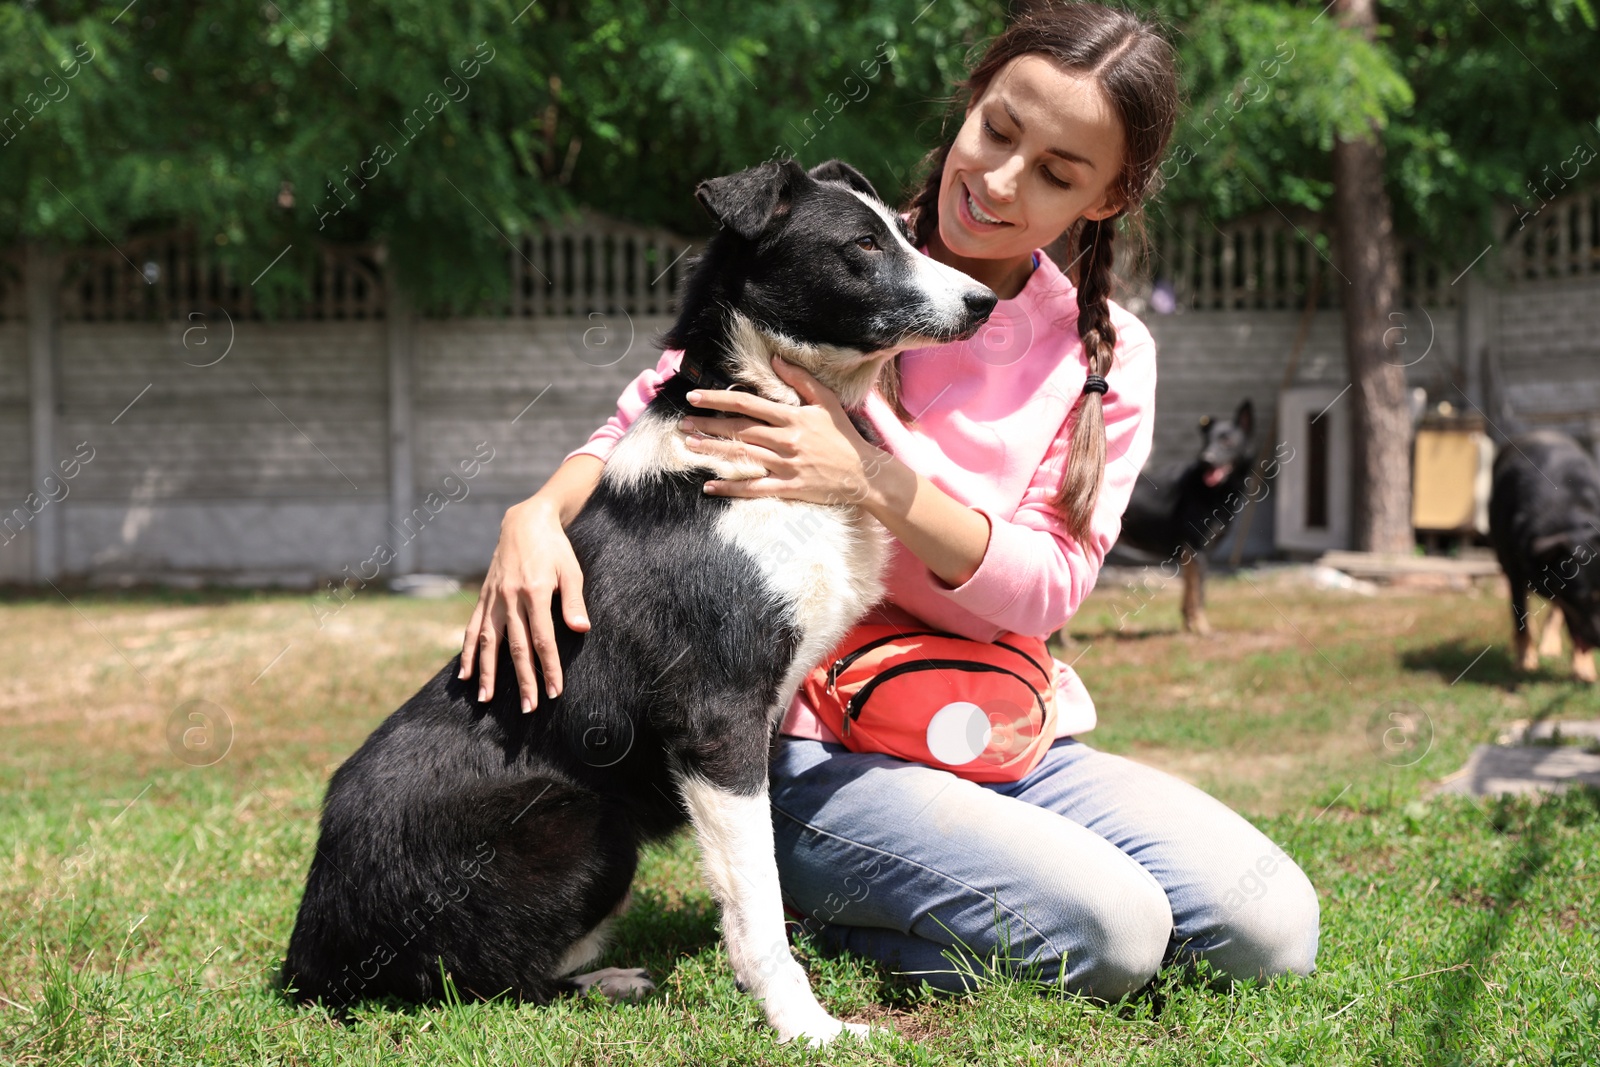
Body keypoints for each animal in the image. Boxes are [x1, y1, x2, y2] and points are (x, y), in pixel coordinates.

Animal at [1120, 399, 1254, 633]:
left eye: (1226, 441)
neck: (1212, 490)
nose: (1206, 460)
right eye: (1207, 442)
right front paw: (1203, 628)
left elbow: (1189, 593)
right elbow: (1199, 594)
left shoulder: (1191, 554)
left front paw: (1190, 625)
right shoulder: (1198, 550)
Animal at [1484, 431, 1600, 684]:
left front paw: (1583, 668)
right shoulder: (1515, 573)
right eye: (1583, 599)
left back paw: (1550, 643)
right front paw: (1524, 662)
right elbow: (1521, 620)